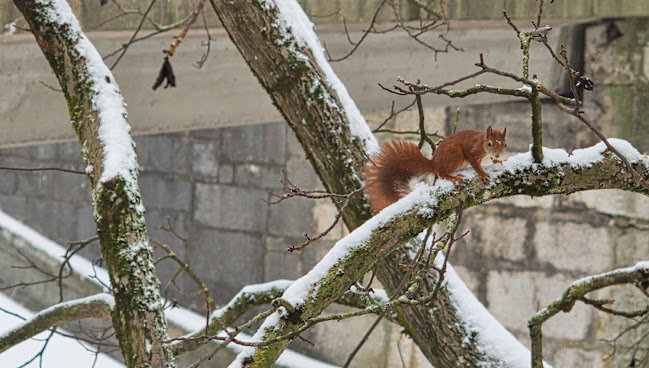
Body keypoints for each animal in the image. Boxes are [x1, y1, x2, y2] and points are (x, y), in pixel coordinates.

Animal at [360, 126, 506, 213]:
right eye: (489, 144)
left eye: (505, 144)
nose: (498, 155)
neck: (482, 141)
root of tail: (434, 163)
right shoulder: (472, 152)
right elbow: (475, 164)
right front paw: (482, 174)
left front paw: (498, 161)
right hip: (454, 155)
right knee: (440, 172)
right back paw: (452, 177)